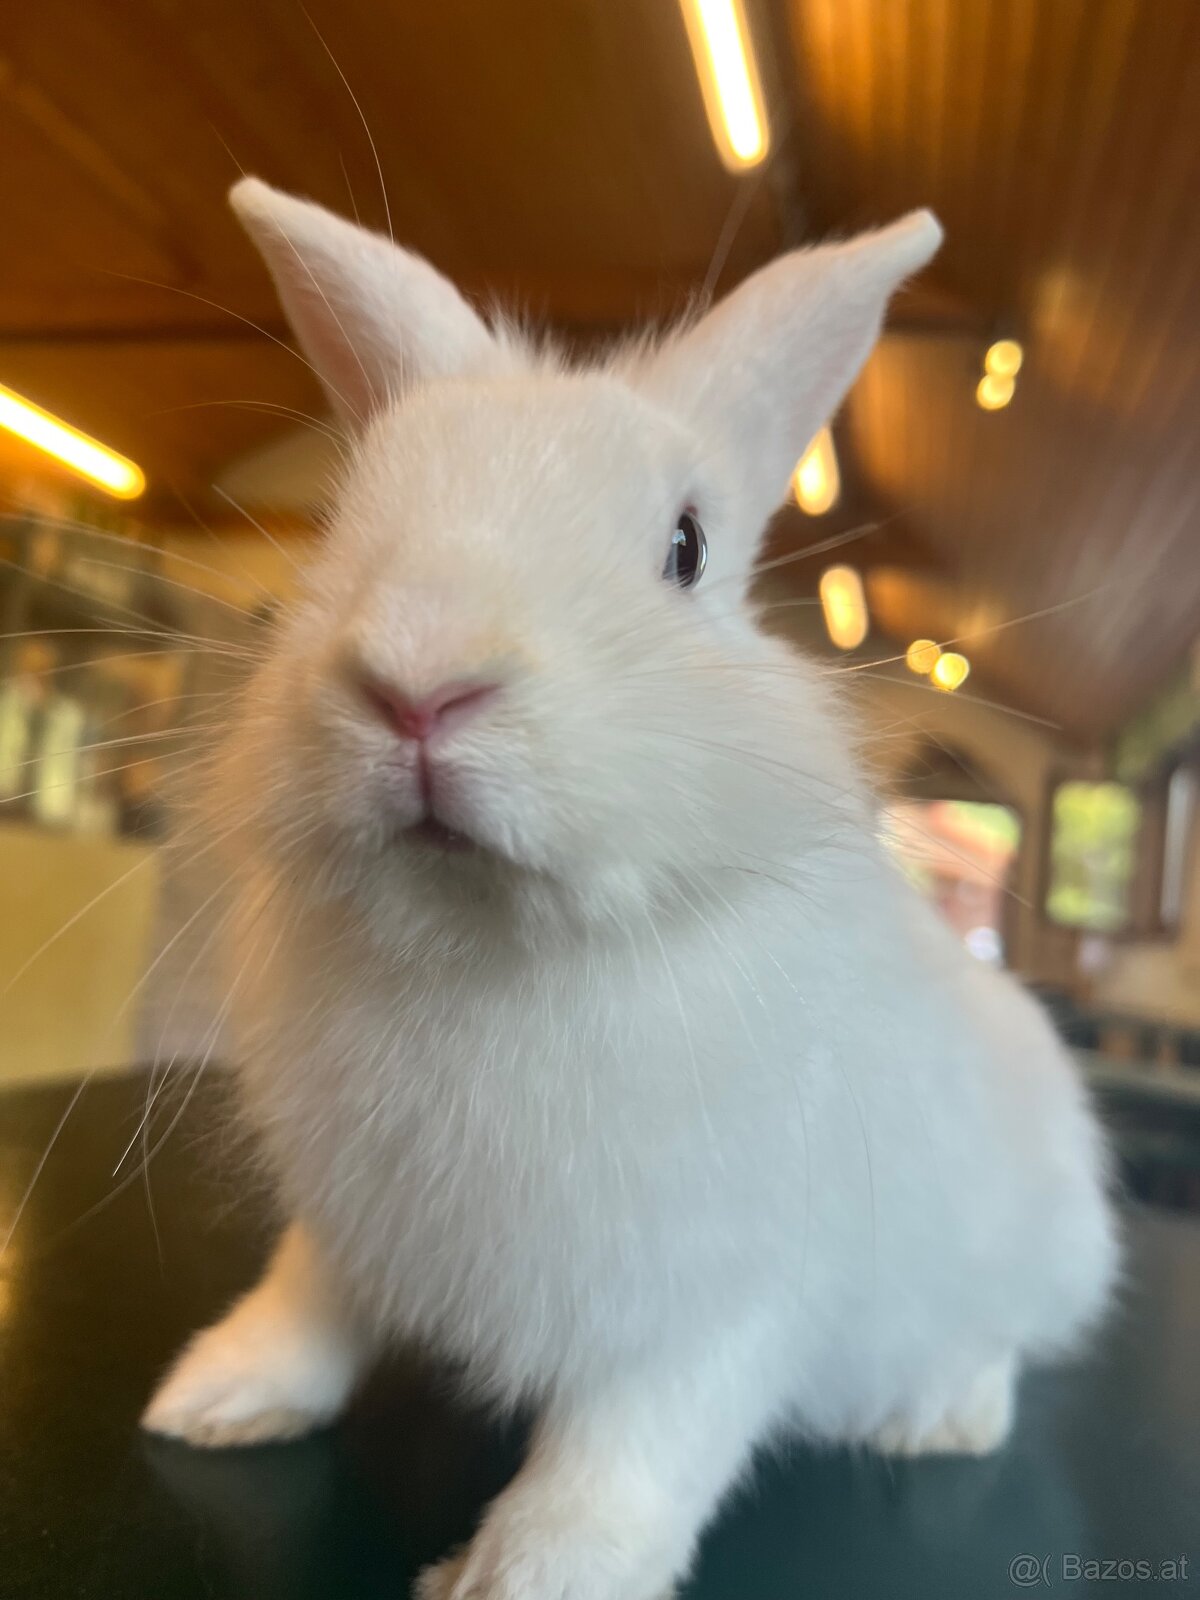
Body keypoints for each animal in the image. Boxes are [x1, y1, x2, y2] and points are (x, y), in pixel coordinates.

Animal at [142, 178, 1118, 1600]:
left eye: (686, 546)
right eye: (345, 519)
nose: (419, 678)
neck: (489, 950)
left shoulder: (719, 1296)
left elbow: (631, 1447)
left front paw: (526, 1573)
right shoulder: (347, 1222)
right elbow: (305, 1309)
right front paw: (214, 1398)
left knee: (999, 1342)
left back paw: (940, 1416)